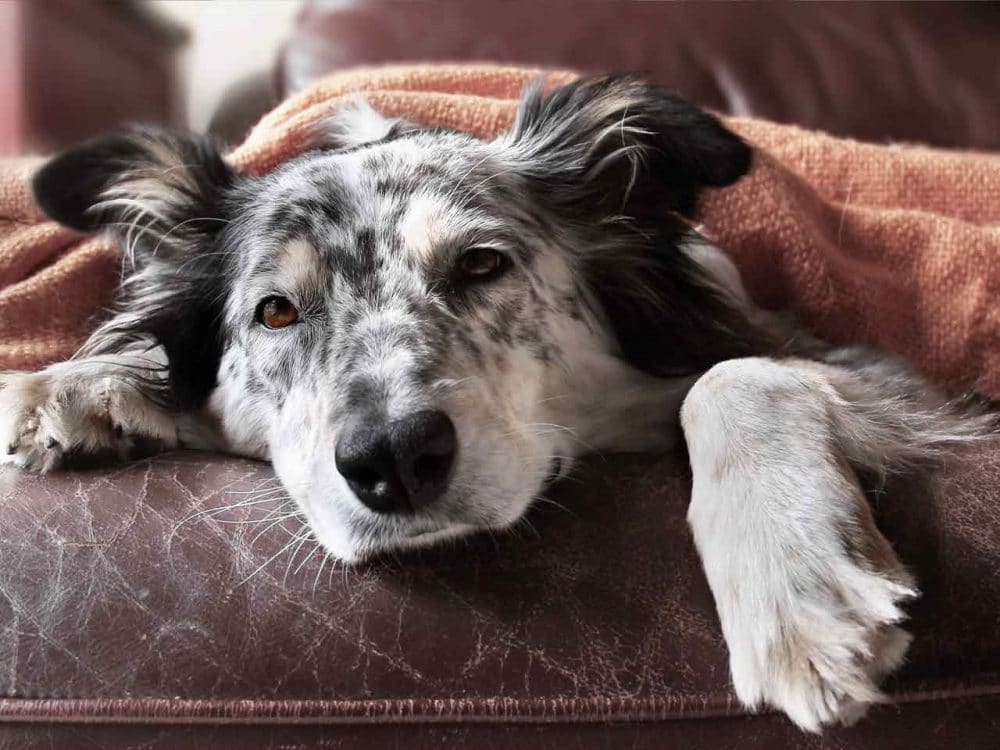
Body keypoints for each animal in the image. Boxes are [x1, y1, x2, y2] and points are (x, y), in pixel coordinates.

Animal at [0, 78, 992, 736]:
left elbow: (736, 374)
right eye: (276, 312)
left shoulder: (886, 374)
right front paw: (75, 384)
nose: (394, 459)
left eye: (481, 264)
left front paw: (797, 591)